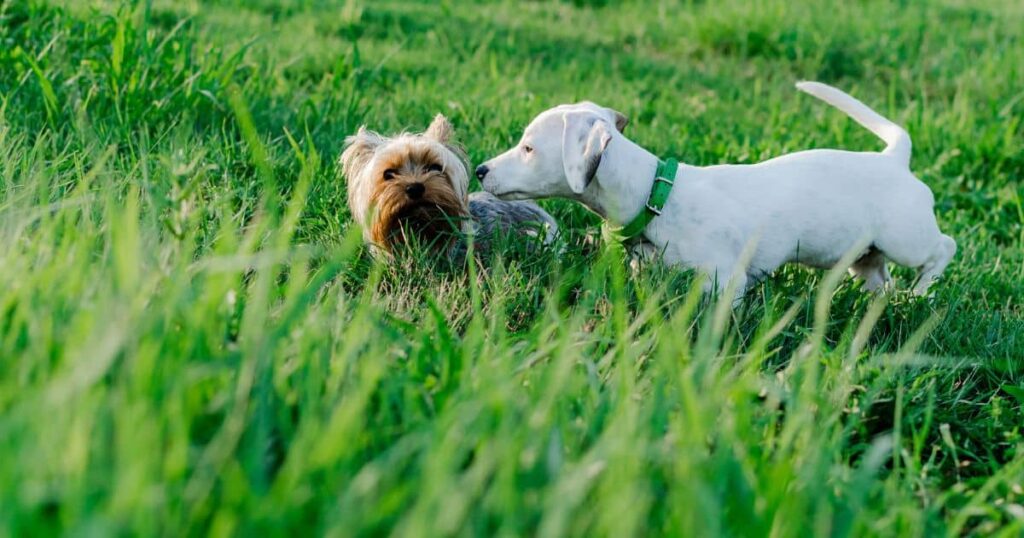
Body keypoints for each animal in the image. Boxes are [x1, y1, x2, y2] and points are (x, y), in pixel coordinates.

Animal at [475, 83, 954, 299]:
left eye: (528, 148)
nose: (480, 170)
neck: (656, 195)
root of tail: (894, 158)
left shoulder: (725, 282)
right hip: (864, 256)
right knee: (878, 277)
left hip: (905, 237)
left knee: (944, 248)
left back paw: (922, 291)